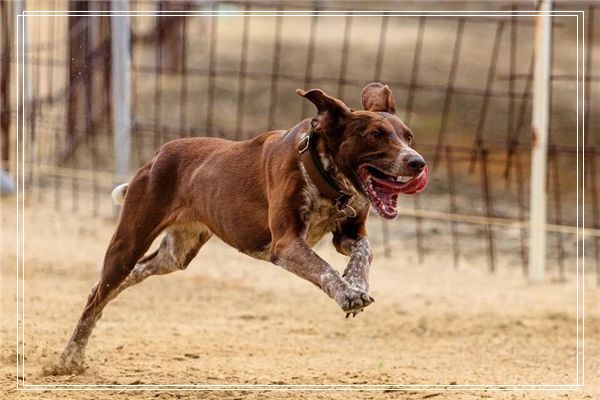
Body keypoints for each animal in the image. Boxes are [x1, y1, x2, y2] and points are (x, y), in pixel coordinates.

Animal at [57, 83, 426, 374]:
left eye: (408, 136)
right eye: (375, 135)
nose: (417, 162)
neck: (322, 173)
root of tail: (158, 155)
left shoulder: (348, 233)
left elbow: (365, 251)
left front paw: (356, 281)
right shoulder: (286, 244)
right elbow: (324, 269)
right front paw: (347, 293)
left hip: (175, 255)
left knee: (125, 279)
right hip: (129, 241)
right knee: (98, 296)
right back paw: (69, 359)